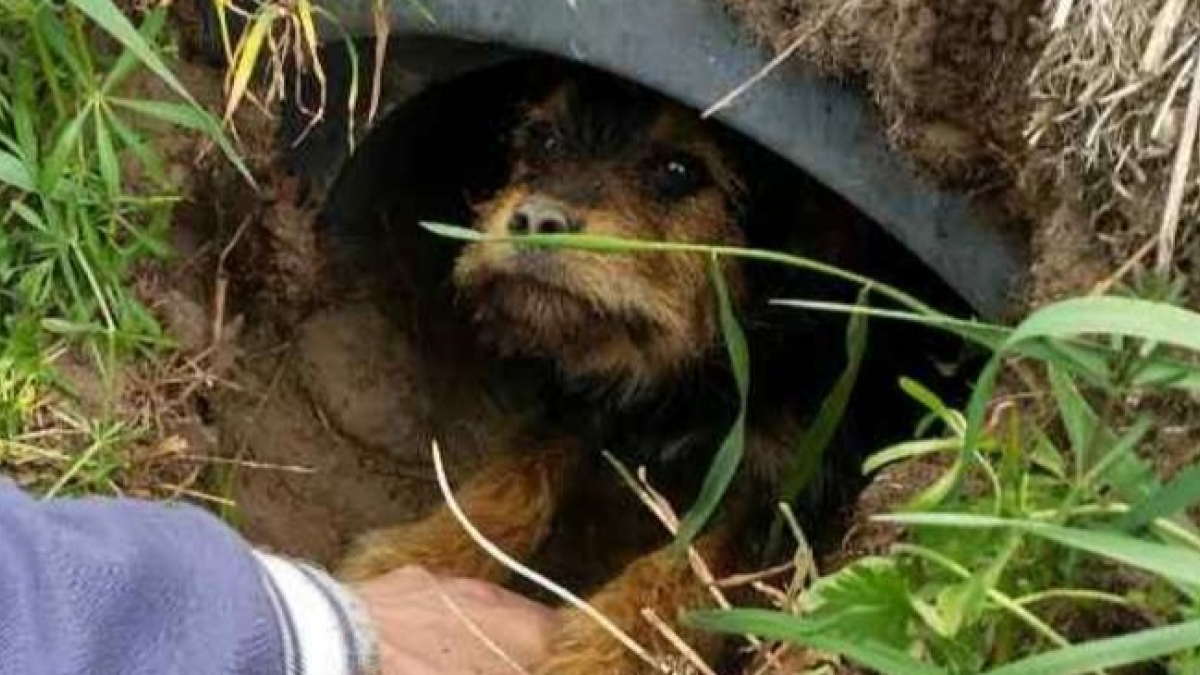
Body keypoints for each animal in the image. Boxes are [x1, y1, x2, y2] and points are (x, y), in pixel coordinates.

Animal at [333, 74, 868, 672]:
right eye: (544, 138)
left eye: (679, 170)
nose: (537, 220)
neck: (689, 378)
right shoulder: (581, 406)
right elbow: (512, 481)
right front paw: (419, 556)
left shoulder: (783, 487)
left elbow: (684, 568)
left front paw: (599, 652)